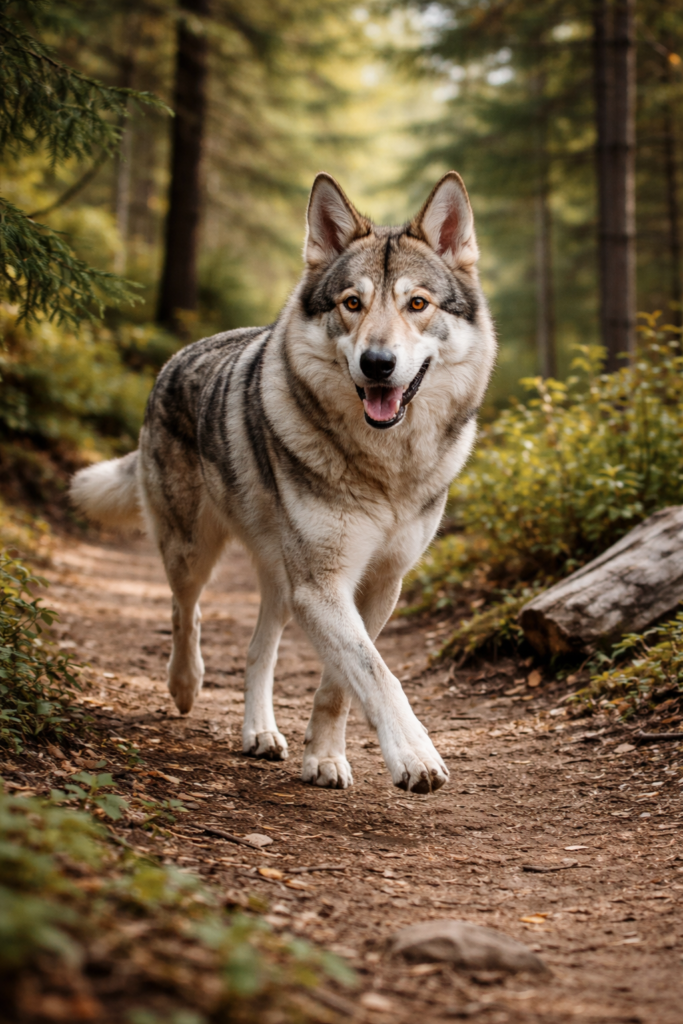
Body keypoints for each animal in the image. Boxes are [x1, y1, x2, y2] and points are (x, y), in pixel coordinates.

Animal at [71, 172, 496, 794]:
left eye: (417, 304)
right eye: (352, 304)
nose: (377, 363)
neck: (385, 467)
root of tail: (176, 357)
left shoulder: (377, 584)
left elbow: (340, 683)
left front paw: (323, 757)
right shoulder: (321, 586)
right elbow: (379, 675)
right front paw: (414, 756)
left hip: (279, 580)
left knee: (257, 651)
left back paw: (261, 733)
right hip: (194, 553)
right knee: (184, 614)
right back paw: (184, 686)